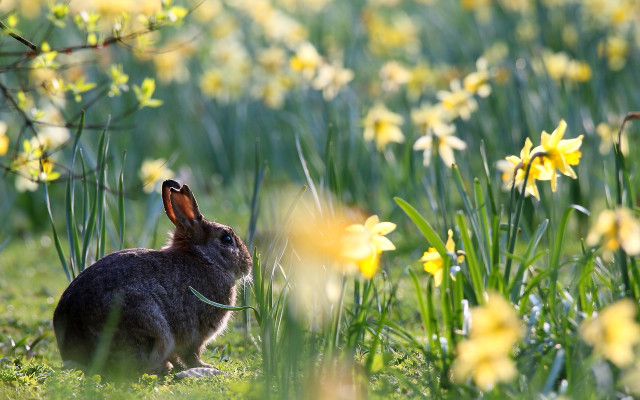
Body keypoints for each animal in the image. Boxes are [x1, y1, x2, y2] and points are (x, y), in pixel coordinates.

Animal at [53, 179, 253, 378]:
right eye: (226, 239)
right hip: (148, 326)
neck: (204, 258)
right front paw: (206, 366)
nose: (249, 264)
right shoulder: (195, 333)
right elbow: (191, 354)